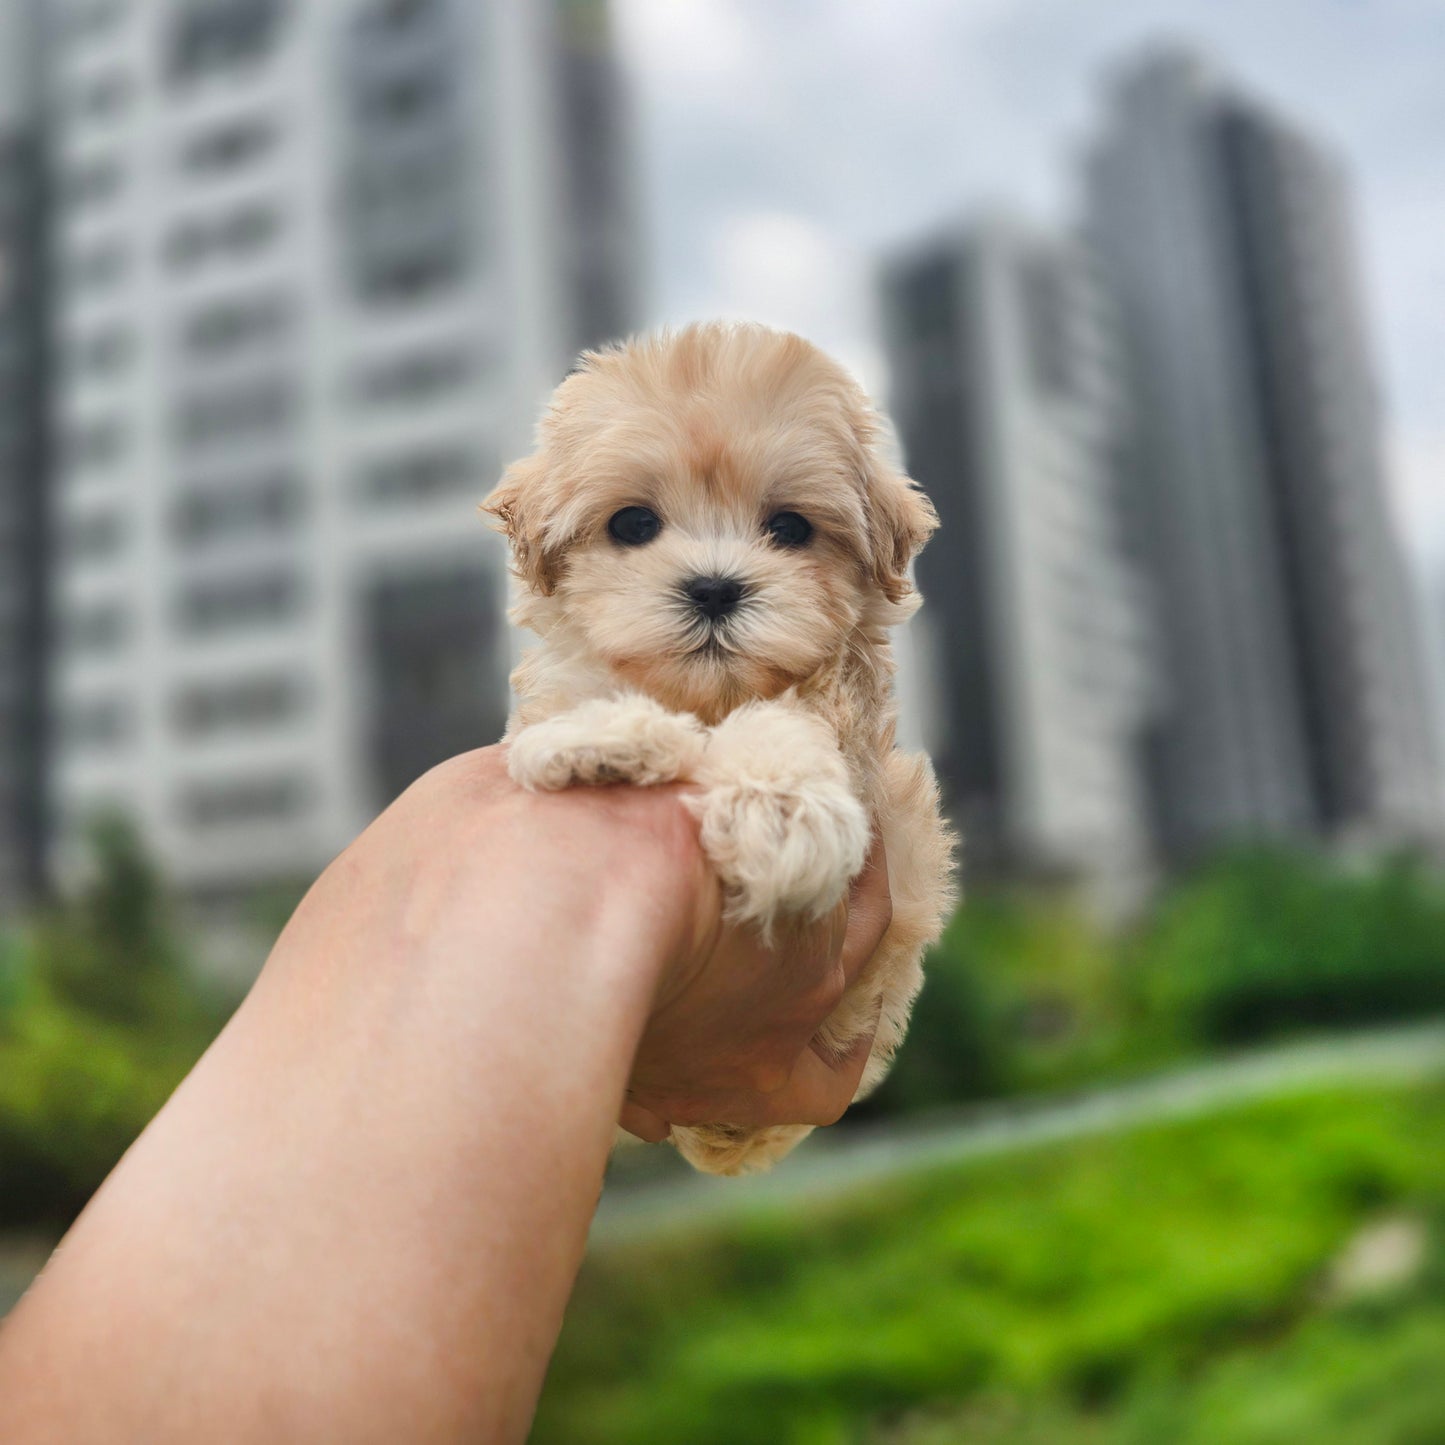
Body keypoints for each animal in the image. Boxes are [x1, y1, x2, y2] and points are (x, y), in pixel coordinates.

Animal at [485, 319, 959, 1173]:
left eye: (790, 528)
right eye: (633, 524)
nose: (712, 588)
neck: (705, 701)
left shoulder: (848, 731)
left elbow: (788, 724)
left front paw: (777, 811)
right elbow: (579, 695)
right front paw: (598, 736)